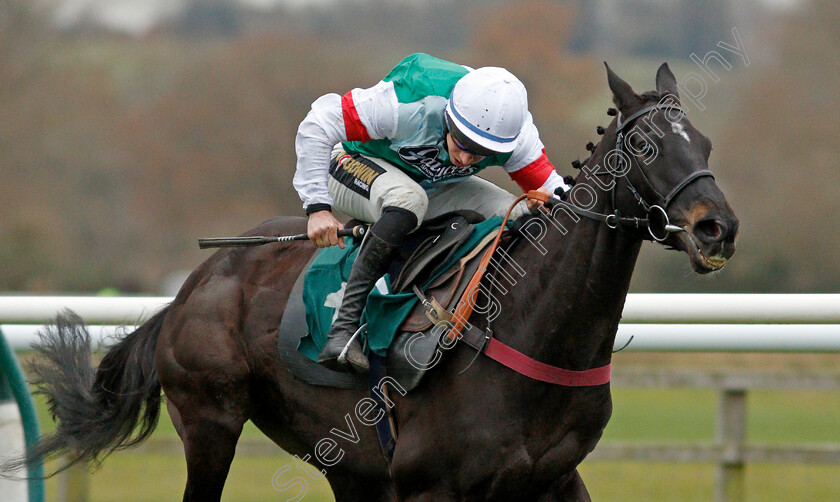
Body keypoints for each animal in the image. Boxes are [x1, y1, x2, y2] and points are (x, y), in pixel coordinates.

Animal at [11, 64, 736, 500]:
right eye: (644, 147)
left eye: (704, 143)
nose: (717, 228)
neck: (532, 328)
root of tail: (192, 287)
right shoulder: (430, 486)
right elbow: (338, 116)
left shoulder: (555, 480)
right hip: (210, 421)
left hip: (345, 461)